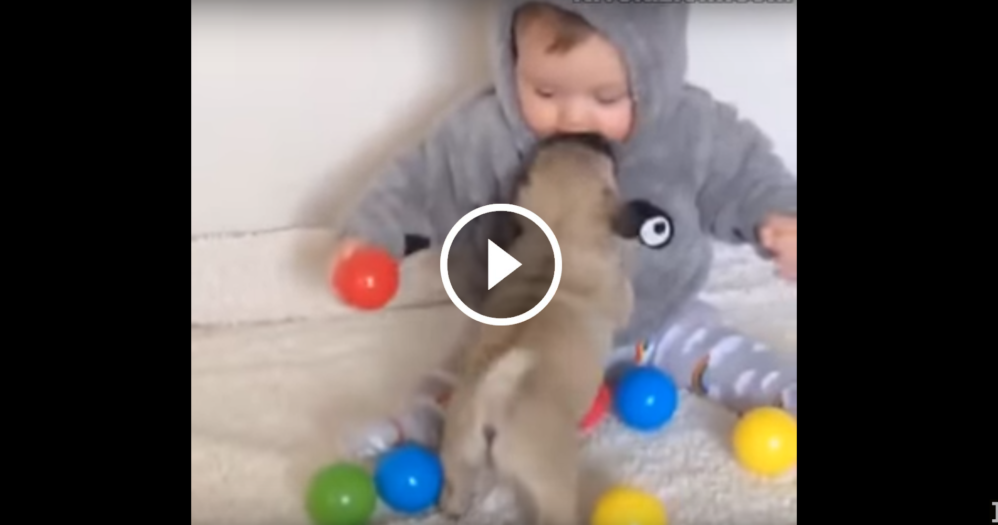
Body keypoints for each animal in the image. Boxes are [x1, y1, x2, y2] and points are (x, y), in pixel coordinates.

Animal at [437, 133, 636, 525]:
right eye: (608, 161)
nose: (592, 135)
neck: (555, 236)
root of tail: (492, 402)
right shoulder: (621, 294)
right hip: (552, 483)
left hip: (458, 456)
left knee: (455, 489)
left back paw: (452, 508)